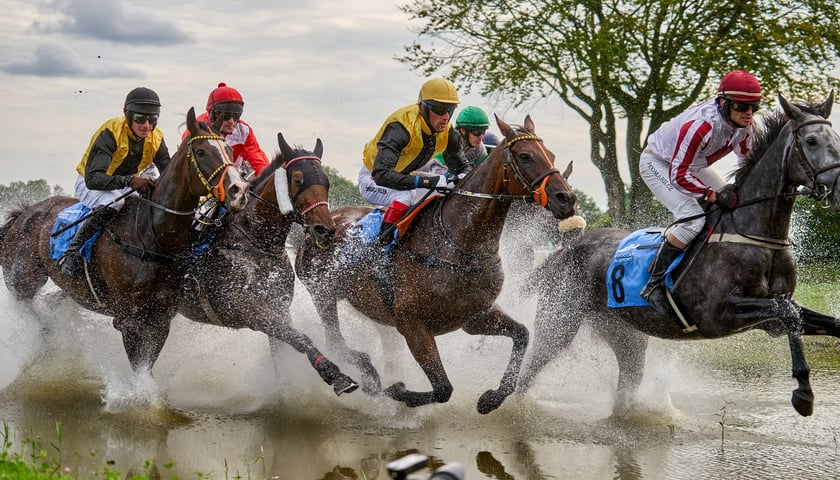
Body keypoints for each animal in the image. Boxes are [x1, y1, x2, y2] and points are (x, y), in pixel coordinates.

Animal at [0, 108, 249, 376]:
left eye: (230, 151)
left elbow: (146, 369)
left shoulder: (160, 318)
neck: (151, 236)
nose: (239, 190)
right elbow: (140, 376)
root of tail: (22, 214)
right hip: (22, 282)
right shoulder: (131, 320)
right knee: (30, 312)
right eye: (202, 152)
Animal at [177, 133, 358, 396]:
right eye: (298, 179)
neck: (257, 244)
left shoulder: (279, 306)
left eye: (326, 182)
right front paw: (336, 375)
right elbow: (299, 339)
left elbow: (284, 349)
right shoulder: (245, 309)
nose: (325, 230)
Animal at [520, 93, 840, 416]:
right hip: (558, 323)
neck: (755, 235)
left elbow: (810, 318)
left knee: (627, 382)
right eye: (811, 141)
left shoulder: (768, 315)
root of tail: (565, 249)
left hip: (626, 333)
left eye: (836, 138)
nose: (837, 187)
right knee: (526, 372)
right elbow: (787, 313)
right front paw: (803, 392)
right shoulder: (719, 313)